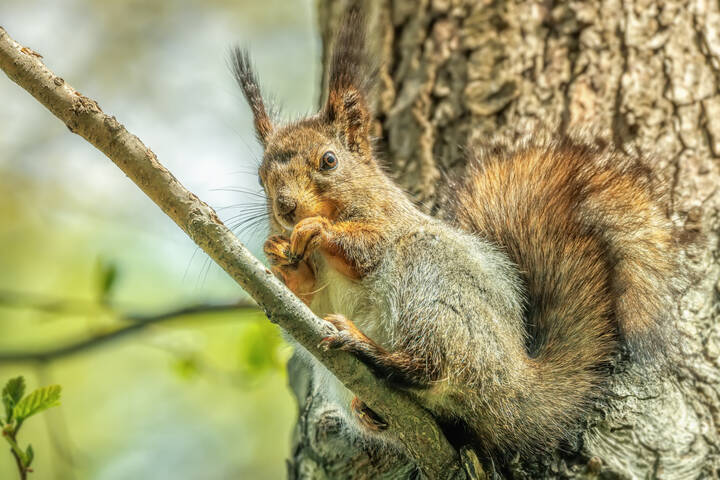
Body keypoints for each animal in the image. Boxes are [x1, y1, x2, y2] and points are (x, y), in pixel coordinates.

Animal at [231, 9, 681, 459]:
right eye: (261, 178)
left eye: (329, 161)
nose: (286, 209)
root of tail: (517, 381)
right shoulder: (316, 294)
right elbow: (306, 298)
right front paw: (279, 254)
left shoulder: (392, 224)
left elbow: (368, 248)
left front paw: (318, 229)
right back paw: (370, 409)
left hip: (434, 292)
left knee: (434, 368)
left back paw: (374, 351)